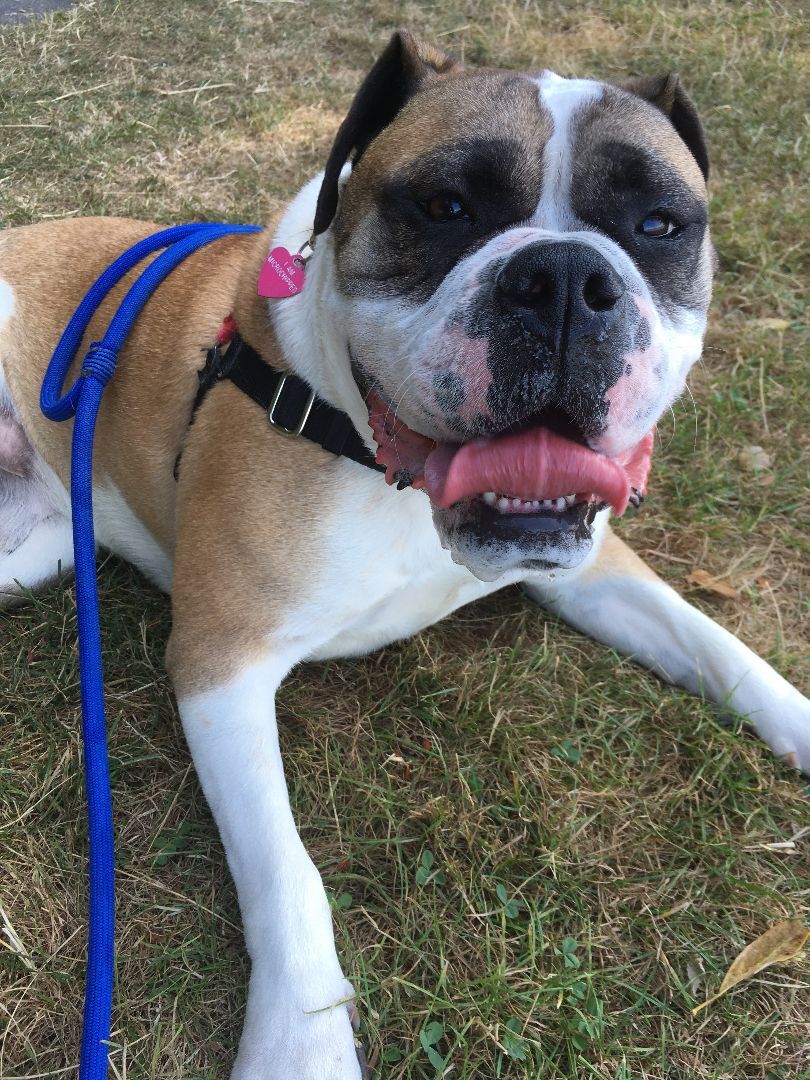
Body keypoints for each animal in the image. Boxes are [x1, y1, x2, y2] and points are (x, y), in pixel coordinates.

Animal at [1, 31, 810, 1080]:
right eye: (446, 206)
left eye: (660, 224)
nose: (563, 280)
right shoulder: (220, 663)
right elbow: (288, 872)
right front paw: (301, 1040)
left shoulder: (595, 569)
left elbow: (721, 647)